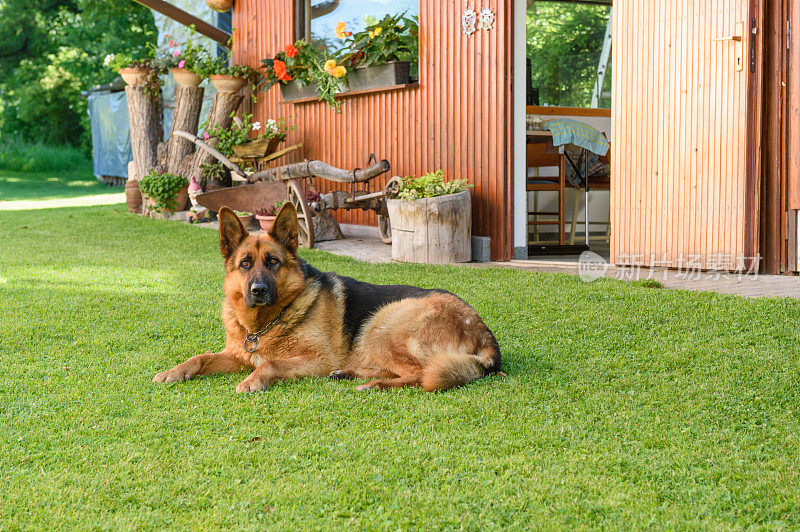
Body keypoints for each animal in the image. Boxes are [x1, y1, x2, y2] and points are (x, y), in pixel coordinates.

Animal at [152, 203, 500, 390]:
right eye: (245, 264)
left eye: (273, 262)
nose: (258, 291)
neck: (265, 325)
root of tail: (482, 329)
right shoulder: (238, 355)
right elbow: (200, 357)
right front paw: (174, 371)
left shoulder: (316, 359)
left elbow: (271, 363)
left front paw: (254, 380)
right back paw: (350, 373)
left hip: (382, 323)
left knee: (420, 374)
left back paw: (374, 385)